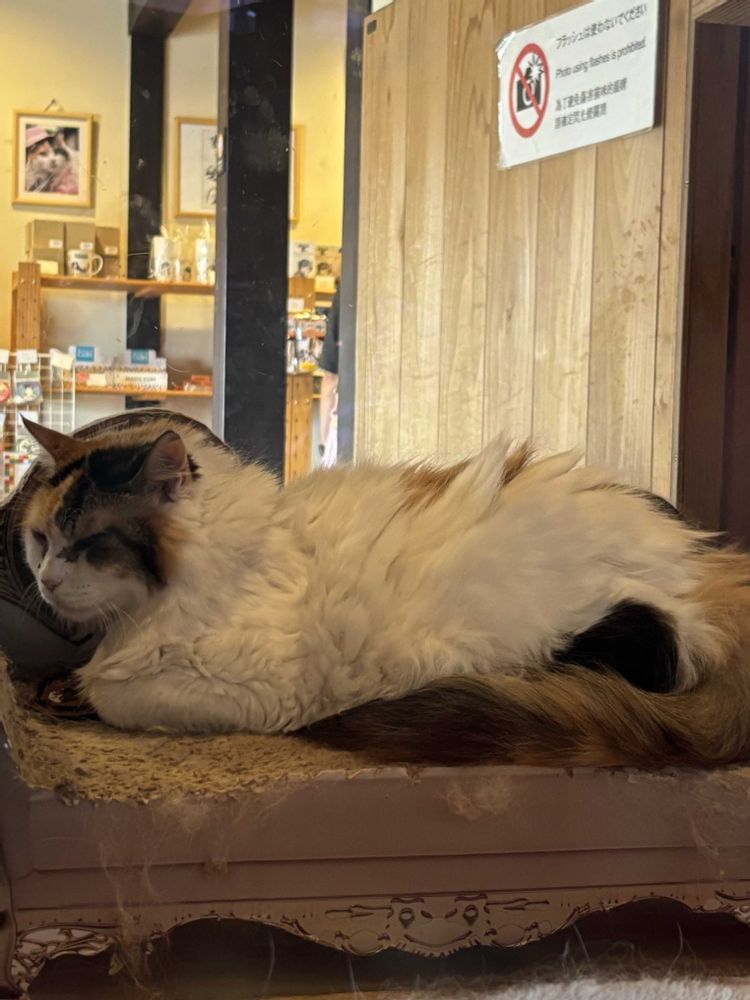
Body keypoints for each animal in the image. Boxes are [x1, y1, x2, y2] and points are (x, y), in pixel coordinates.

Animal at [19, 415, 750, 768]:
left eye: (89, 544)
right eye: (40, 540)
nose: (46, 582)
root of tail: (711, 565)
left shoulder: (257, 689)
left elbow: (116, 695)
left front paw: (83, 691)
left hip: (621, 628)